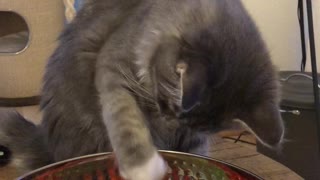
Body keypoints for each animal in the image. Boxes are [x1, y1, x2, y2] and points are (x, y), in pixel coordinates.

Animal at [0, 0, 284, 179]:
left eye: (188, 123)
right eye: (167, 103)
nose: (167, 118)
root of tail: (48, 146)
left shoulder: (194, 138)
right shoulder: (113, 69)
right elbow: (127, 121)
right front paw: (144, 167)